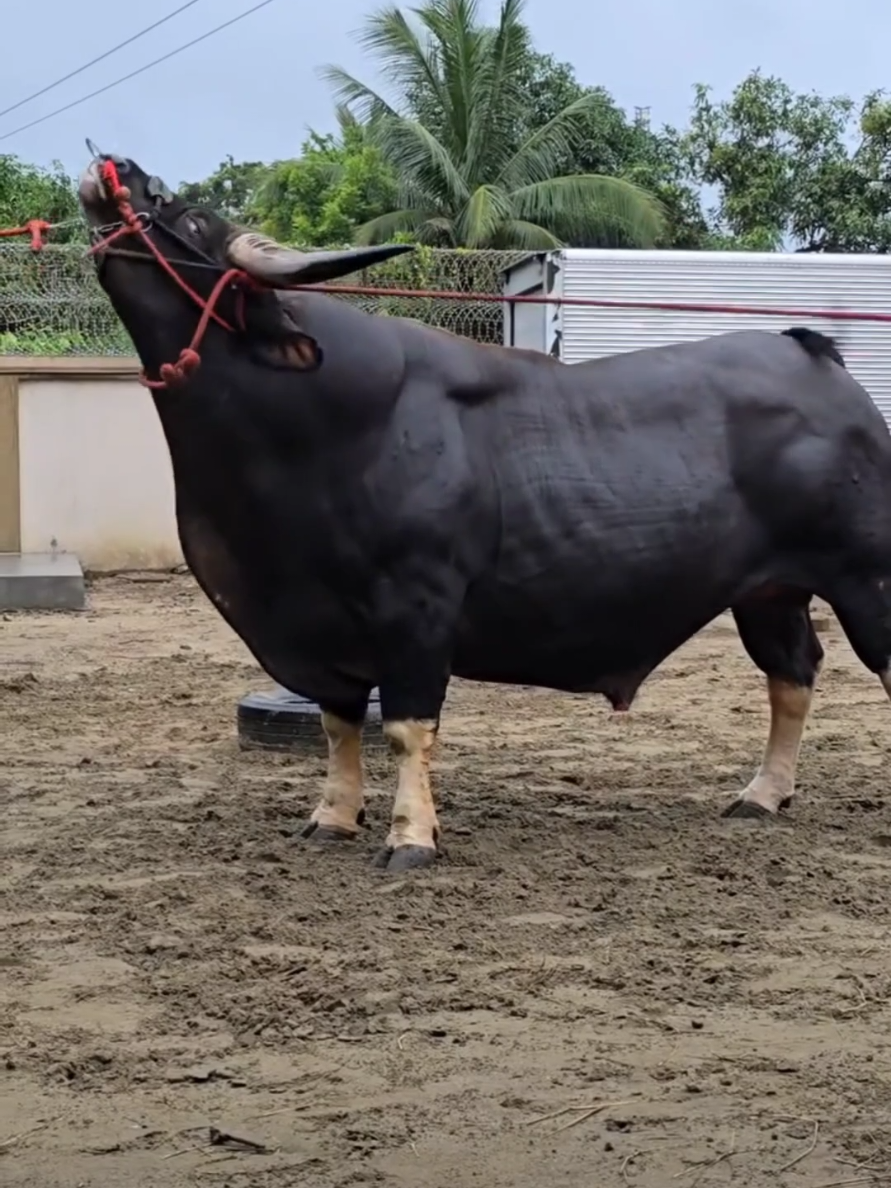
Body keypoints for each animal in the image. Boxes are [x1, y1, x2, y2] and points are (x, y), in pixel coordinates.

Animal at [78, 149, 891, 873]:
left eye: (190, 216)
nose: (117, 168)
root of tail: (812, 356)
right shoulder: (321, 631)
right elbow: (339, 727)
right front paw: (333, 817)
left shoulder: (417, 608)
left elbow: (407, 728)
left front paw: (410, 838)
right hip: (769, 593)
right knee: (792, 674)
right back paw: (761, 795)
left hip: (866, 581)